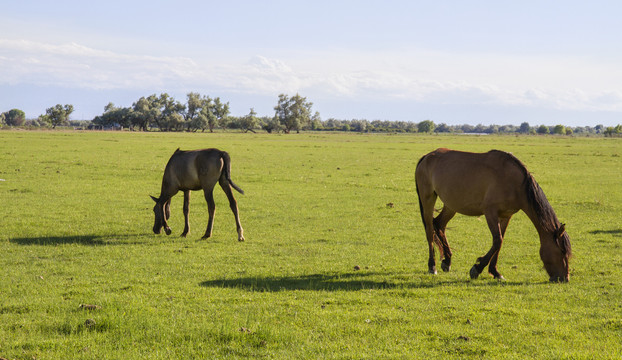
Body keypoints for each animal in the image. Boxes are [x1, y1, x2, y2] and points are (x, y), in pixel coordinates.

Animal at [416, 148, 572, 282]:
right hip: (428, 199)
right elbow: (497, 240)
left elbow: (500, 242)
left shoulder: (506, 216)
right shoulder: (490, 212)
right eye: (561, 251)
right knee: (430, 231)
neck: (514, 182)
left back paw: (447, 261)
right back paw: (432, 266)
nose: (564, 278)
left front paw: (495, 272)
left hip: (451, 205)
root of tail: (426, 157)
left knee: (439, 224)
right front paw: (477, 268)